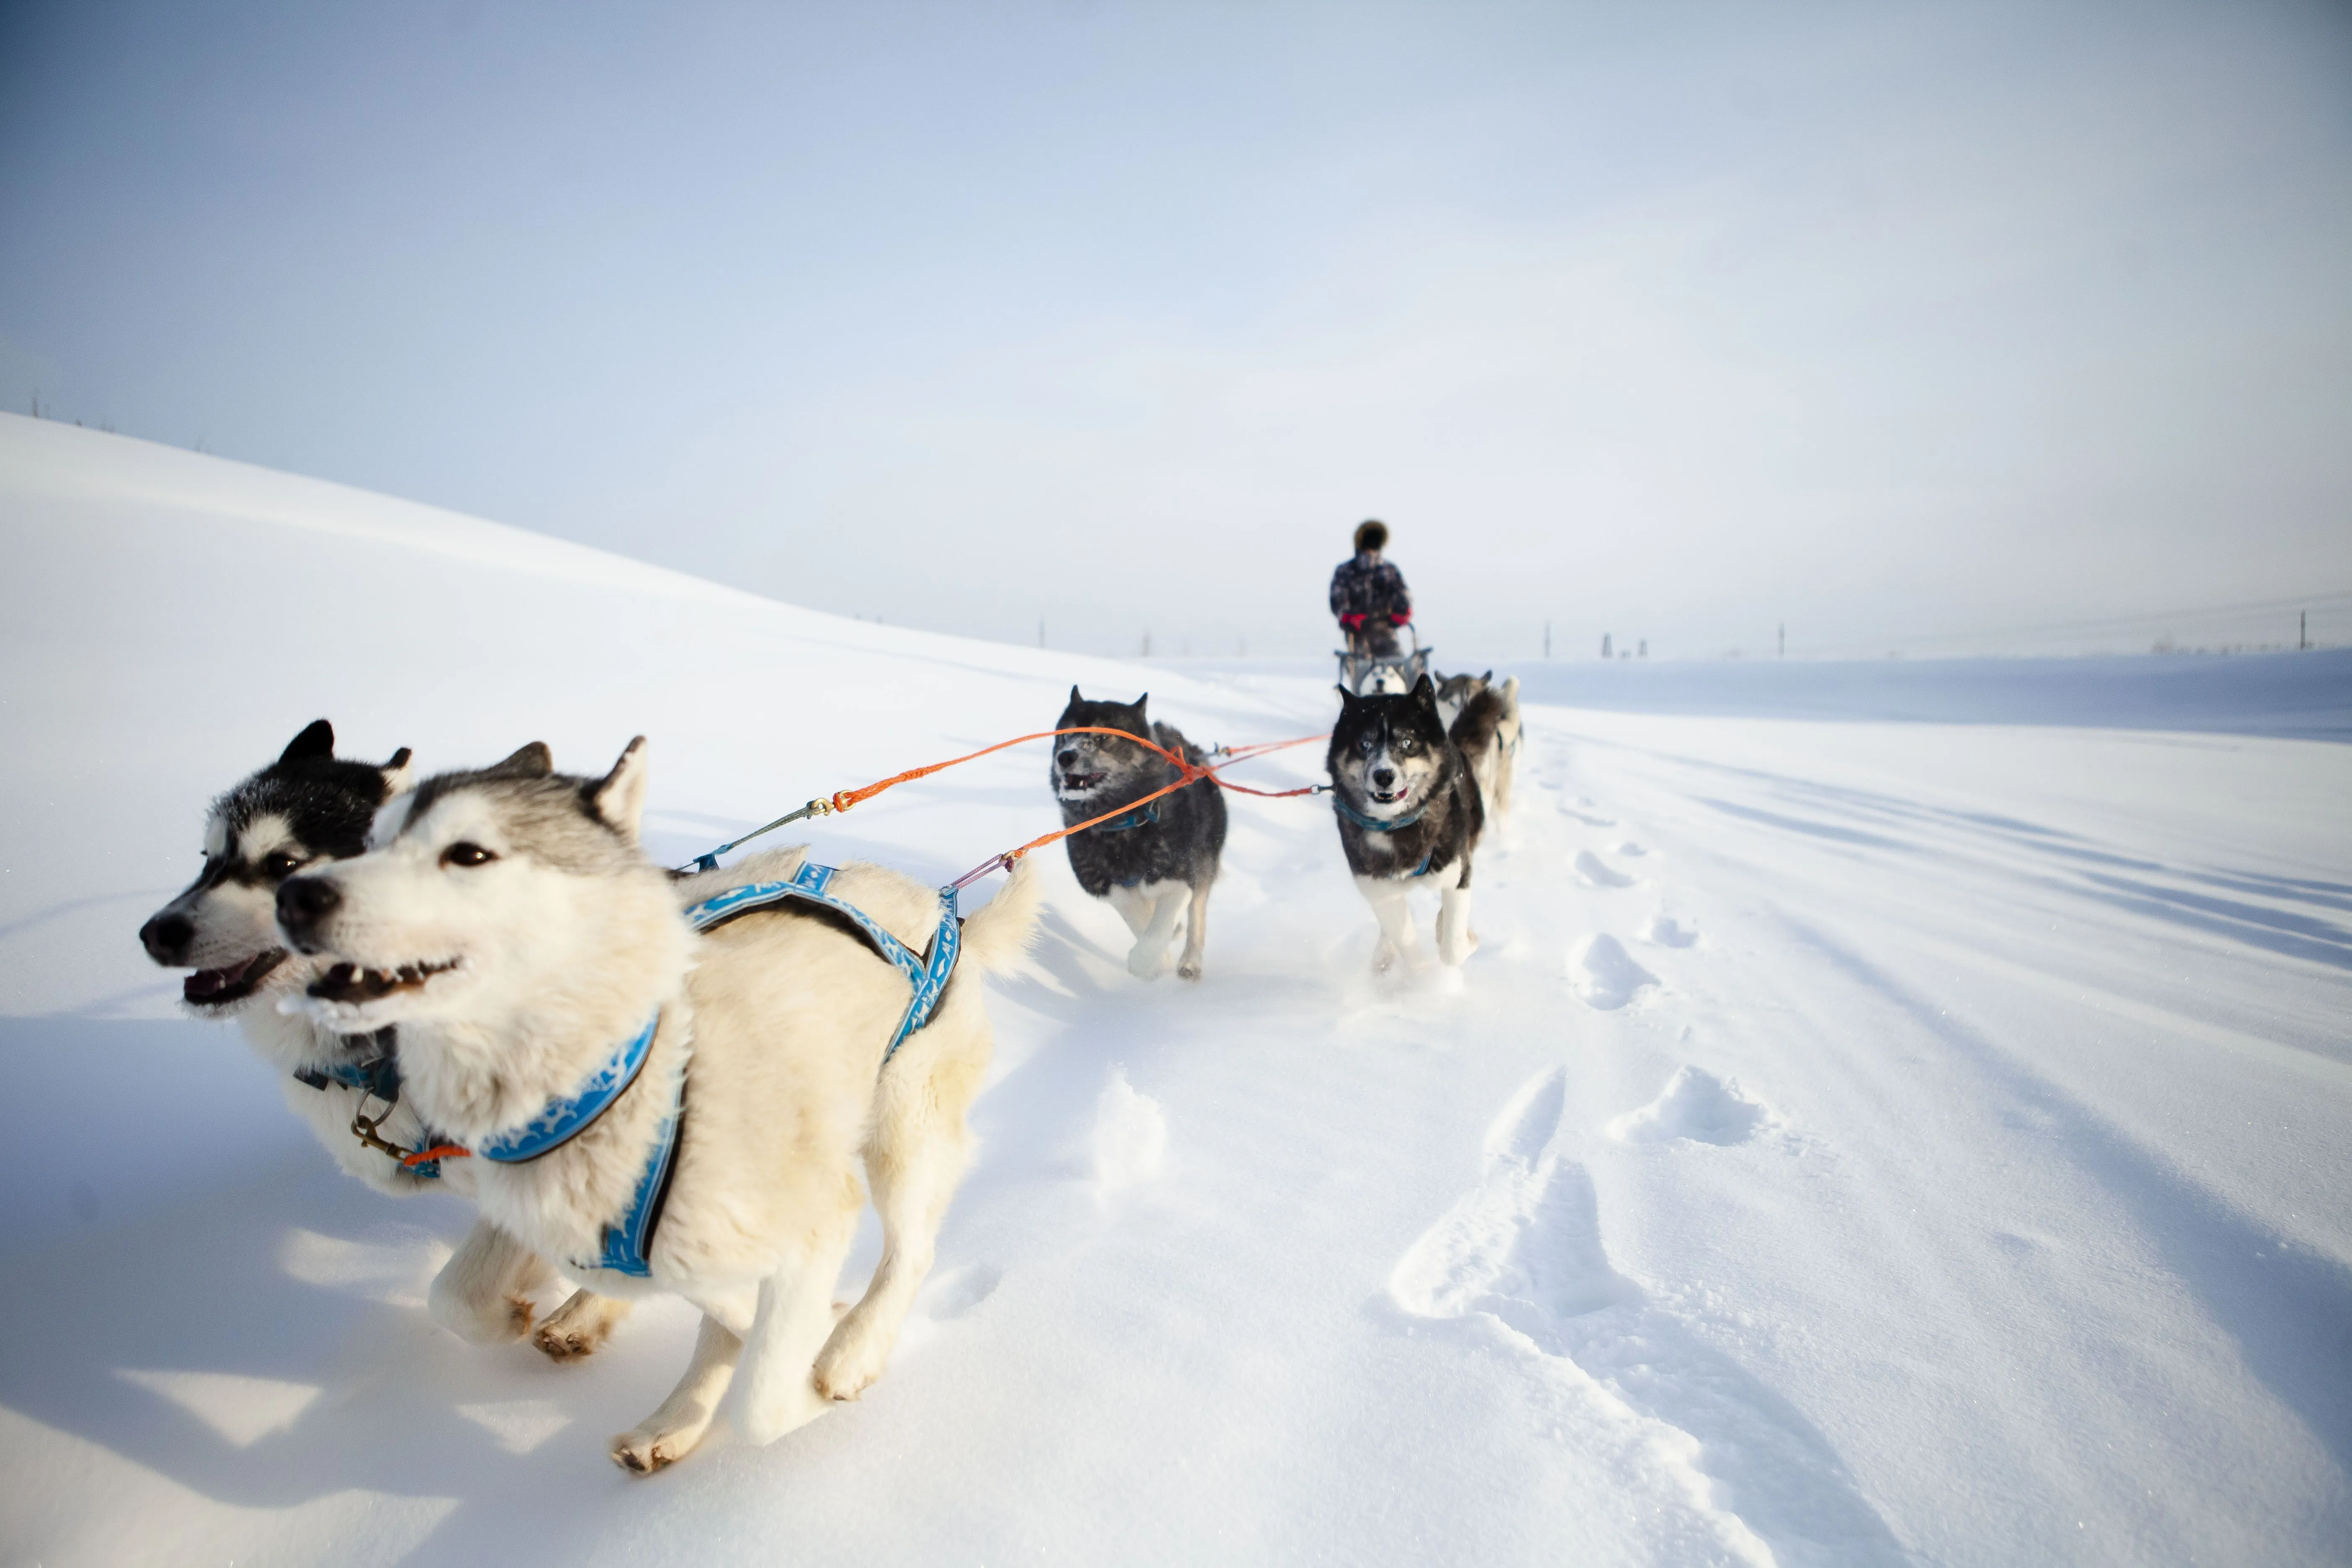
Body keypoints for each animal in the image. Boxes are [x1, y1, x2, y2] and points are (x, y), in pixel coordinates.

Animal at [1053, 691, 1232, 983]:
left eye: (1103, 737)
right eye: (1065, 735)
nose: (1065, 756)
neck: (1122, 824)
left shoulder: (1181, 875)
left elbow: (1160, 924)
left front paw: (1149, 961)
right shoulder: (1105, 884)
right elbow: (1137, 915)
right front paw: (1162, 954)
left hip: (1205, 858)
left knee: (1197, 911)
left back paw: (1190, 962)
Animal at [1336, 677, 1477, 968]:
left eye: (1407, 742)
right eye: (1364, 745)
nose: (1384, 776)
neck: (1397, 825)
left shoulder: (1457, 873)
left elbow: (1452, 949)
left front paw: (1465, 941)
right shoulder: (1380, 891)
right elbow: (1407, 946)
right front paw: (1423, 978)